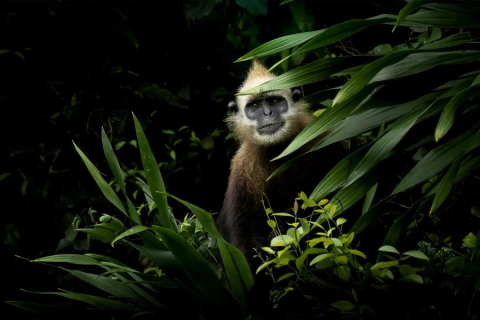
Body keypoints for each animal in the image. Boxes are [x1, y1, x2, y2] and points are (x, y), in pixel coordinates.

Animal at [218, 59, 334, 264]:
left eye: (275, 101)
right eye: (255, 106)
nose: (267, 113)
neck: (279, 151)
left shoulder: (319, 138)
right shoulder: (242, 168)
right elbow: (247, 244)